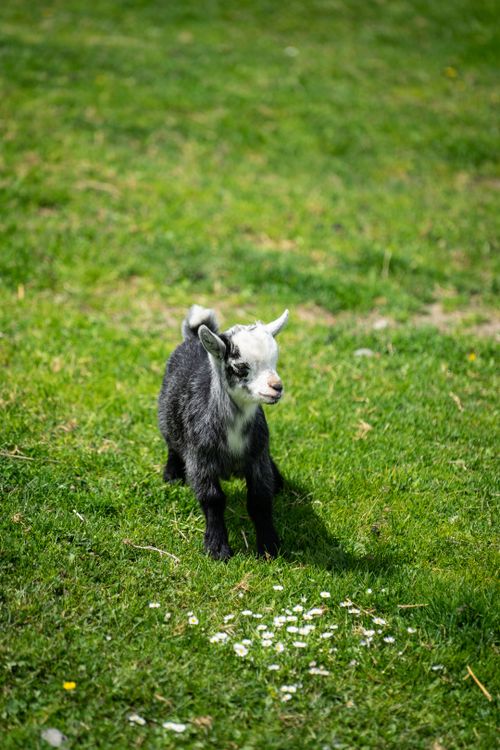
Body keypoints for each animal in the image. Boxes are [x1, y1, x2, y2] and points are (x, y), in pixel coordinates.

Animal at [158, 305, 289, 560]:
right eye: (239, 367)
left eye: (275, 361)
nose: (276, 387)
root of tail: (193, 338)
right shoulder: (200, 460)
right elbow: (213, 499)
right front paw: (217, 547)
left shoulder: (257, 458)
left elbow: (260, 499)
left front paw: (269, 546)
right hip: (166, 418)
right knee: (171, 442)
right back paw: (172, 473)